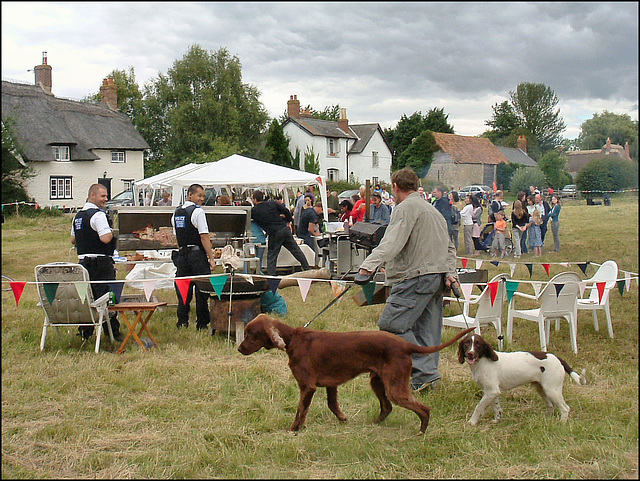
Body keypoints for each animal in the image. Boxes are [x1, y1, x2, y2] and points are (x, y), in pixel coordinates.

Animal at [238, 314, 472, 434]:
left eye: (251, 334)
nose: (239, 349)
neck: (292, 339)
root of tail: (406, 345)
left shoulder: (307, 386)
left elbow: (300, 411)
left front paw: (294, 429)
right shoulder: (330, 384)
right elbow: (332, 405)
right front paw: (343, 419)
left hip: (395, 386)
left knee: (423, 408)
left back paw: (422, 432)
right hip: (378, 382)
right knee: (387, 407)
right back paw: (375, 424)